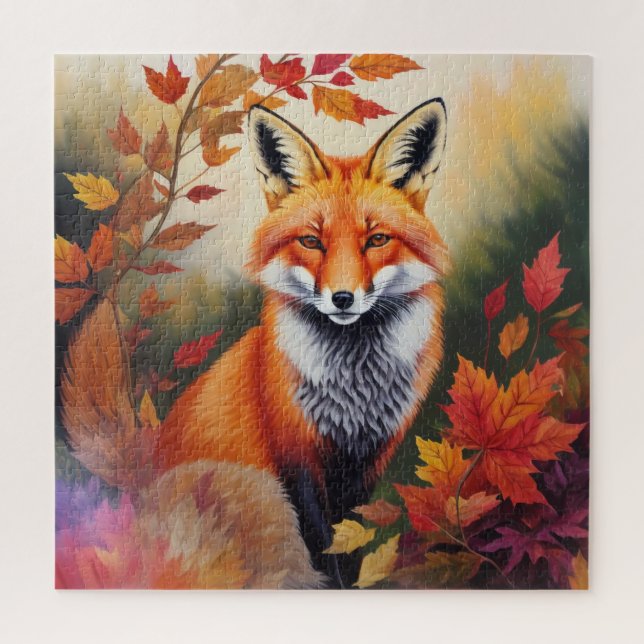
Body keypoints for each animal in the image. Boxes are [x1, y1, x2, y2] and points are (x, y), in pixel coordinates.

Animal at [61, 98, 449, 588]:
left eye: (377, 239)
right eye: (311, 241)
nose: (343, 298)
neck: (354, 382)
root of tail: (146, 465)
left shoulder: (368, 463)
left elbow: (351, 544)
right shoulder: (294, 458)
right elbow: (325, 549)